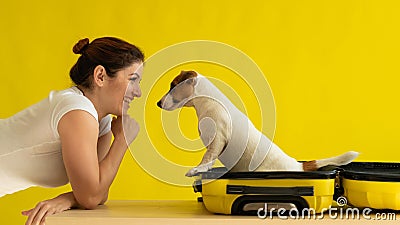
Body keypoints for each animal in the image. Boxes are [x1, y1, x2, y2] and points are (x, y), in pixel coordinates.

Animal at [157, 71, 360, 177]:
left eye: (172, 86)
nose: (158, 103)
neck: (207, 101)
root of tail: (297, 166)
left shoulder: (218, 139)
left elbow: (208, 157)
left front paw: (198, 169)